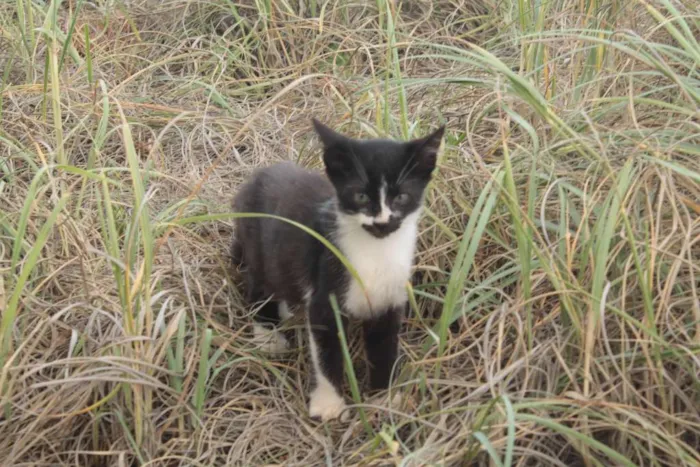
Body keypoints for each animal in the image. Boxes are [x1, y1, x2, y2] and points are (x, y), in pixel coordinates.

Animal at [232, 119, 446, 422]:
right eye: (360, 196)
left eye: (402, 197)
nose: (382, 222)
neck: (375, 252)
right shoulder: (326, 294)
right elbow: (327, 354)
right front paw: (329, 405)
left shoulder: (390, 297)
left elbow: (384, 347)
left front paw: (384, 397)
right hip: (258, 246)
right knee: (258, 284)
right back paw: (268, 336)